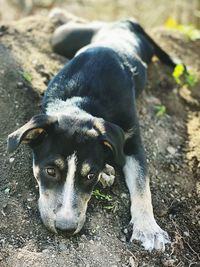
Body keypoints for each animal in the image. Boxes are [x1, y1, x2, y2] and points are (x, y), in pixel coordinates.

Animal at [7, 17, 177, 252]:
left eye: (90, 176)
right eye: (50, 171)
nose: (66, 229)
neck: (82, 103)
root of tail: (123, 21)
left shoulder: (132, 141)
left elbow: (142, 183)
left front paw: (148, 229)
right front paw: (106, 169)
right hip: (62, 37)